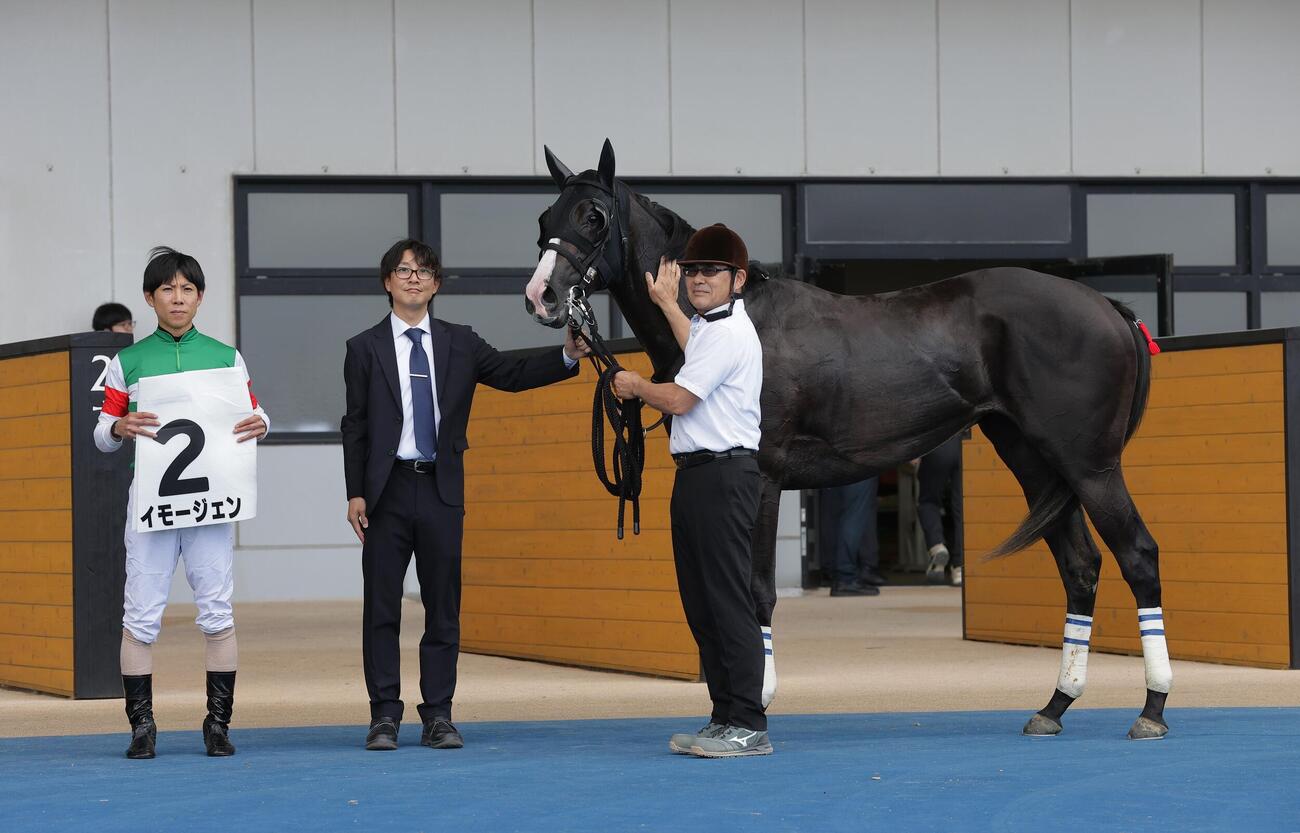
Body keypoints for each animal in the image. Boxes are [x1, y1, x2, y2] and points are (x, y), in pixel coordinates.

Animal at [523, 140, 1171, 740]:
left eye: (593, 217)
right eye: (545, 218)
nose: (542, 296)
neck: (729, 318)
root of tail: (1107, 307)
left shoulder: (764, 478)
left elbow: (756, 590)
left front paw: (756, 704)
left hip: (1090, 466)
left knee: (1138, 555)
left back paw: (1152, 709)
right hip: (1033, 460)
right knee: (1080, 566)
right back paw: (1054, 706)